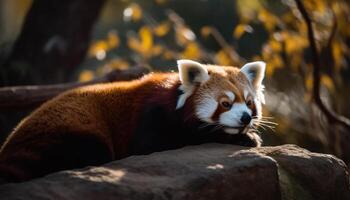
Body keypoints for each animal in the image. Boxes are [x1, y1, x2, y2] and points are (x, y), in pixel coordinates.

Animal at [0, 58, 266, 182]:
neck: (173, 97)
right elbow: (159, 144)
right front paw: (244, 138)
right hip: (66, 131)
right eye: (225, 104)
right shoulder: (150, 117)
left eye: (249, 102)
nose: (245, 118)